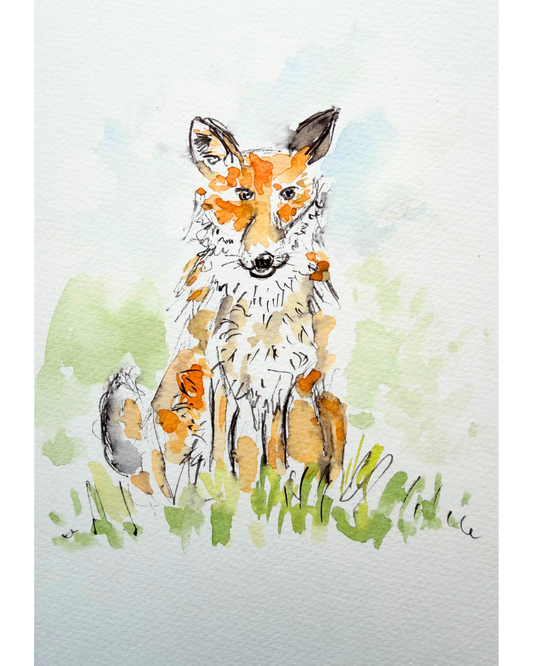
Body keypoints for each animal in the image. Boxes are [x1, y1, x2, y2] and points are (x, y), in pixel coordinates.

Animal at [100, 108, 348, 503]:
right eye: (243, 194)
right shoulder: (219, 374)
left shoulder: (280, 379)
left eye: (288, 193)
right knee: (163, 480)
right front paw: (222, 496)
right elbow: (219, 453)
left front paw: (277, 493)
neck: (261, 315)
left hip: (328, 404)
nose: (263, 258)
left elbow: (274, 455)